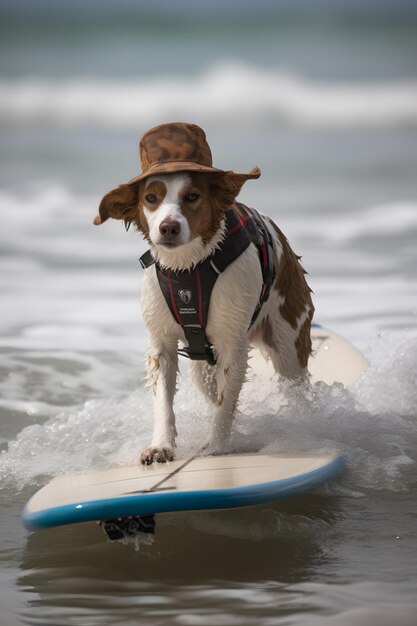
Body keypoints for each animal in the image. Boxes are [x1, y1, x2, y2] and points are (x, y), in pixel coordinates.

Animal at [94, 122, 314, 464]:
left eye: (192, 196)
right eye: (151, 198)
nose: (168, 227)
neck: (188, 267)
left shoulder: (232, 343)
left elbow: (226, 403)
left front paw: (215, 447)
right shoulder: (161, 343)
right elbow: (164, 401)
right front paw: (161, 445)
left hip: (289, 341)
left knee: (293, 384)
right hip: (201, 365)